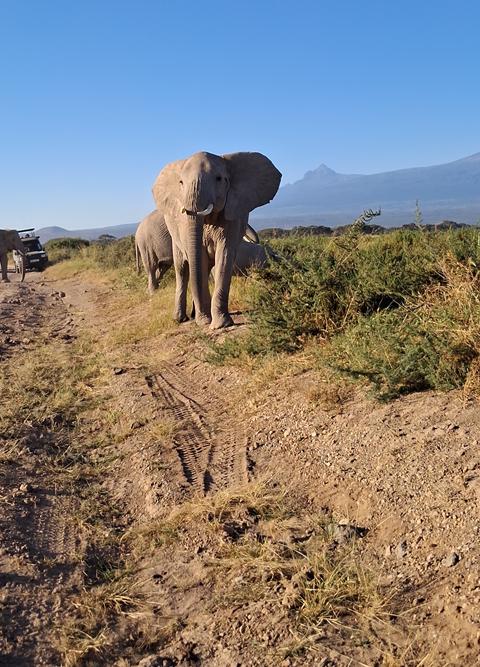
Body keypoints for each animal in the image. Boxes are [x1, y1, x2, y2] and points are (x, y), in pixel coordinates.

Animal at [152, 151, 281, 329]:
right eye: (181, 182)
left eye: (219, 179)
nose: (203, 320)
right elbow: (198, 259)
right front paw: (205, 320)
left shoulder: (233, 212)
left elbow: (224, 256)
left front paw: (220, 324)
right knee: (183, 270)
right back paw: (181, 319)